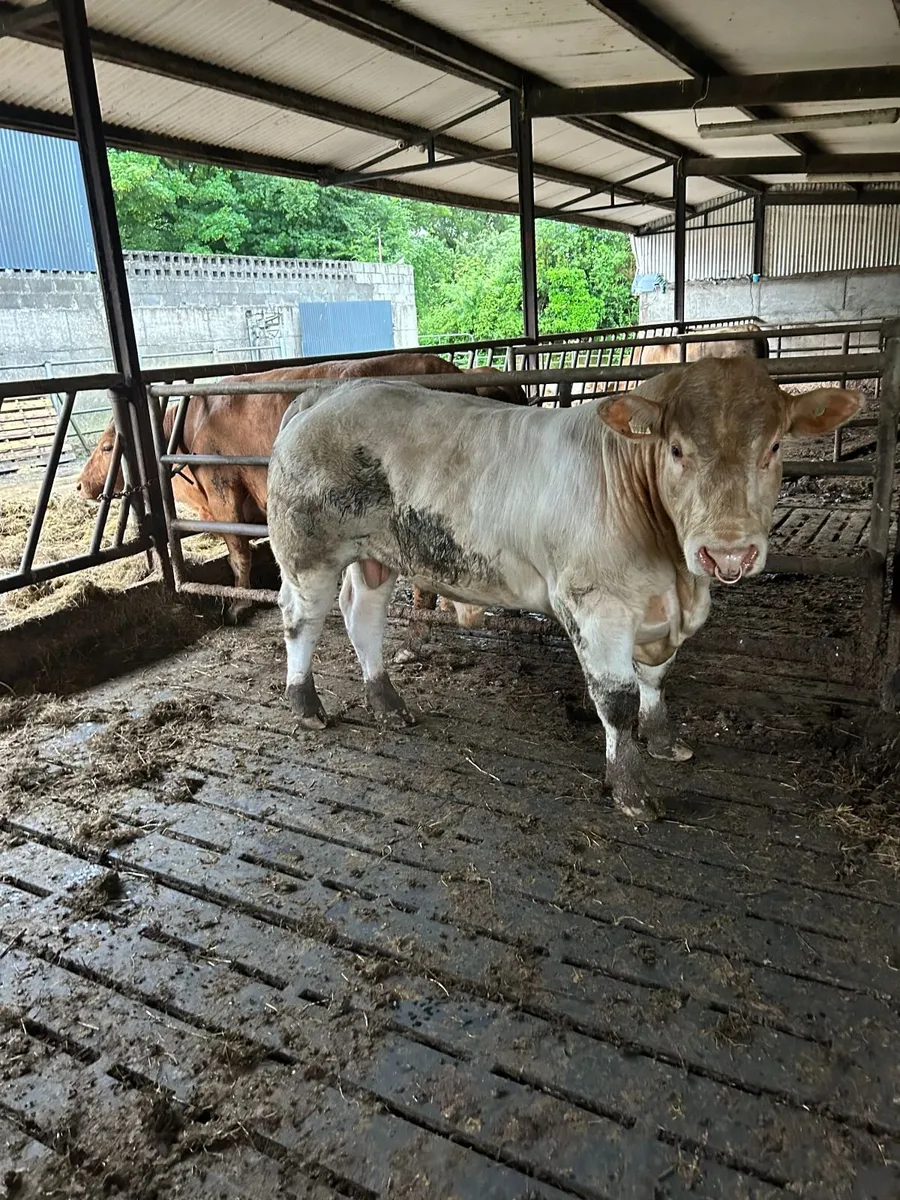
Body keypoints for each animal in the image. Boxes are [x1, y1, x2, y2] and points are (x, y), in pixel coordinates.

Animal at [266, 357, 858, 820]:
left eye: (775, 446)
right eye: (676, 449)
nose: (728, 551)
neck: (677, 580)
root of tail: (329, 392)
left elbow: (656, 680)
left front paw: (664, 742)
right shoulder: (596, 607)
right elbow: (617, 701)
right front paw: (631, 791)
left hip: (376, 555)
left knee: (362, 616)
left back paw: (388, 702)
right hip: (307, 551)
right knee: (302, 620)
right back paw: (306, 705)